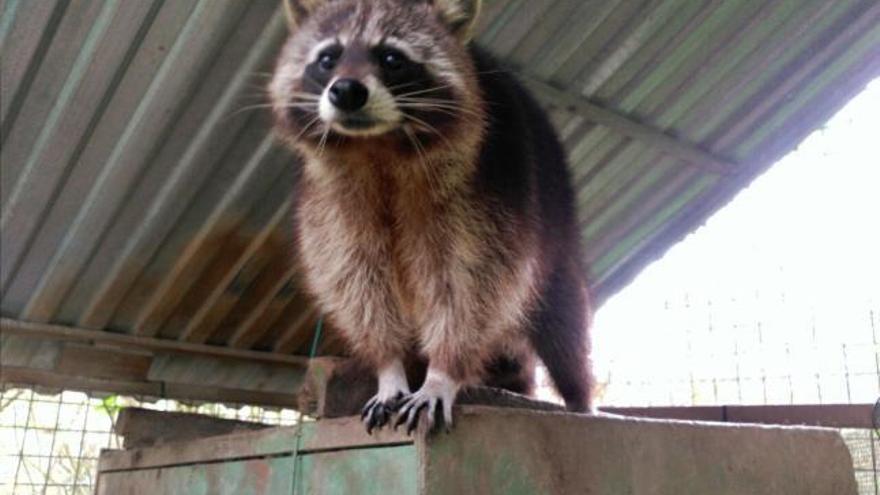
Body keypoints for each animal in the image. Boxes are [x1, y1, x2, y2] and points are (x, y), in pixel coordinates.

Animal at [272, 0, 596, 434]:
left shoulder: (489, 186)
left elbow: (471, 283)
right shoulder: (329, 203)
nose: (346, 90)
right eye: (327, 58)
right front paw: (389, 366)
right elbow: (357, 280)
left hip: (553, 211)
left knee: (563, 315)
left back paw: (579, 397)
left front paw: (442, 372)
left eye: (392, 58)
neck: (377, 148)